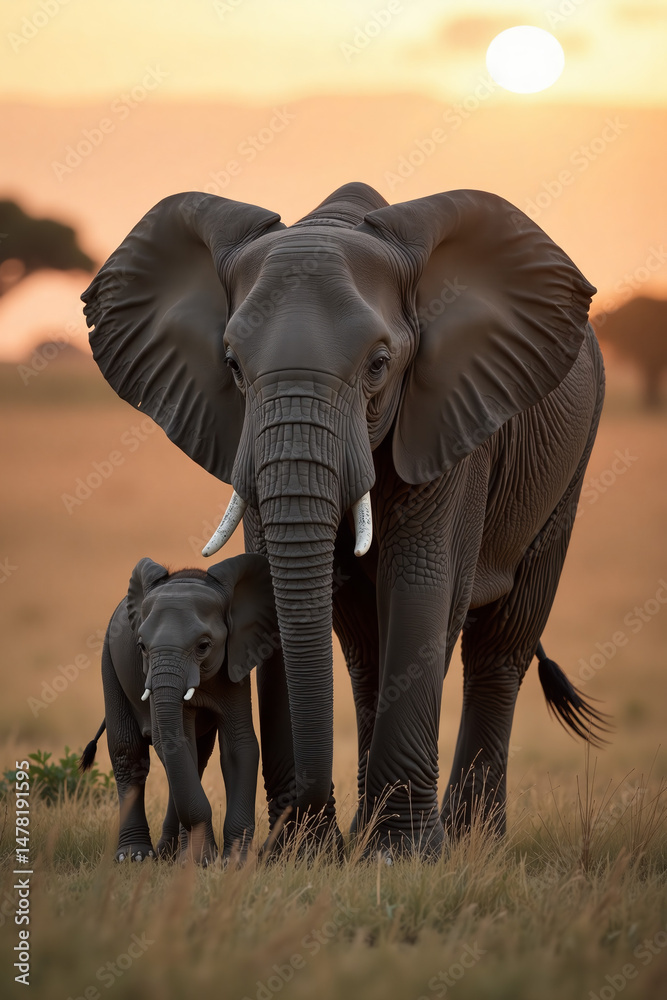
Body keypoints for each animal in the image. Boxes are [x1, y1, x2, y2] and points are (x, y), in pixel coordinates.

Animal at [80, 553, 286, 864]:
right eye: (141, 647)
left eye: (203, 646)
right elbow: (177, 743)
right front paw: (201, 862)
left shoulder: (235, 665)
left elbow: (239, 746)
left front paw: (235, 862)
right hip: (109, 661)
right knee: (129, 753)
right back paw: (136, 857)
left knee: (196, 758)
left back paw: (167, 852)